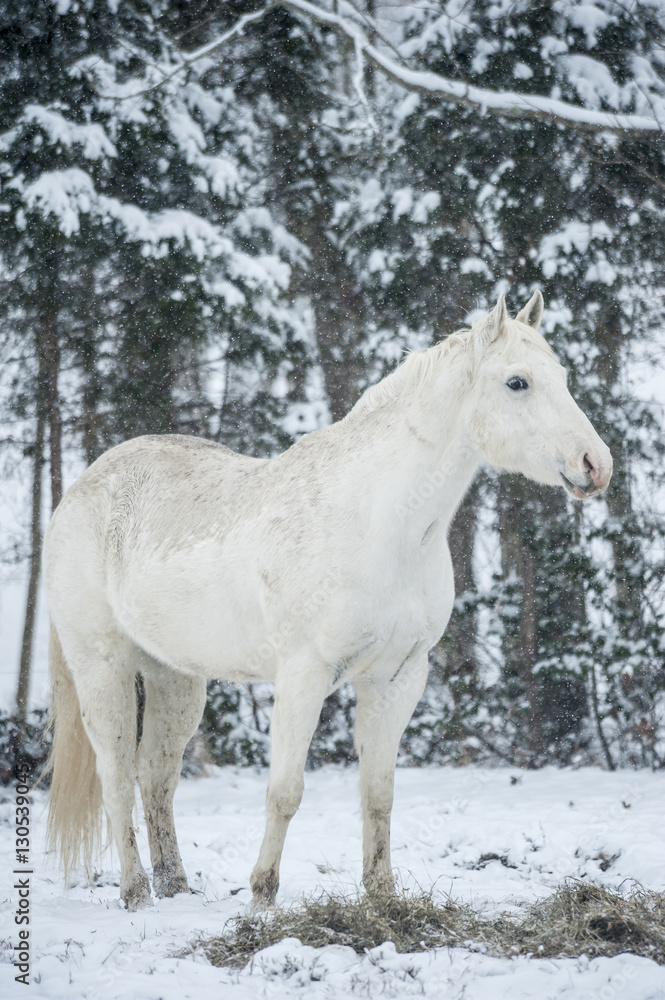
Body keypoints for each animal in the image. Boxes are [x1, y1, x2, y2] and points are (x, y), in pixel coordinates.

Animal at [44, 292, 608, 912]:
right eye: (517, 382)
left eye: (562, 376)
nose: (596, 464)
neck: (379, 523)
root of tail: (80, 491)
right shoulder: (303, 676)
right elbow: (285, 792)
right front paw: (262, 898)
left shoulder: (397, 678)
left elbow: (378, 795)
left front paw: (382, 898)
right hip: (104, 669)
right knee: (117, 775)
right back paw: (136, 893)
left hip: (175, 677)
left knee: (156, 775)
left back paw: (176, 889)